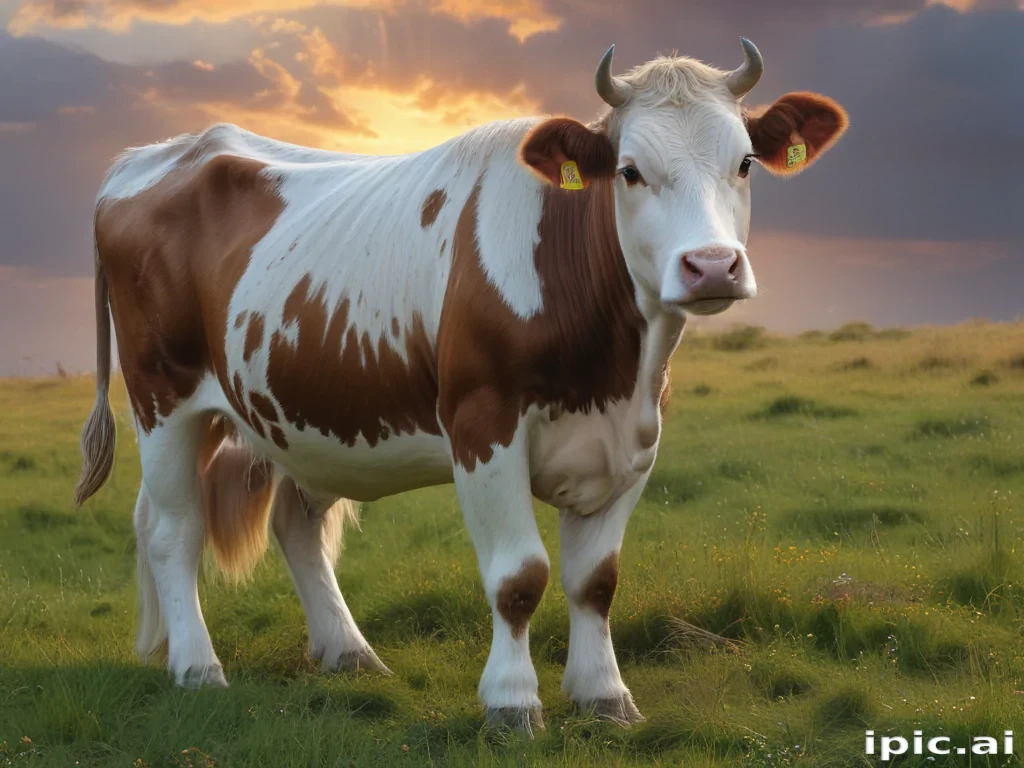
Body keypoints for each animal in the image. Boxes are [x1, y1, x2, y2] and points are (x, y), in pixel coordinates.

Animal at [74, 39, 847, 732]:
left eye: (744, 163)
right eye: (629, 171)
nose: (712, 265)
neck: (608, 365)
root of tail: (155, 156)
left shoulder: (633, 439)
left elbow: (596, 581)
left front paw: (605, 698)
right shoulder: (483, 427)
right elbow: (519, 577)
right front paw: (512, 702)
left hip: (298, 414)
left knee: (295, 525)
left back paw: (348, 654)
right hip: (164, 396)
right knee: (174, 530)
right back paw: (197, 666)